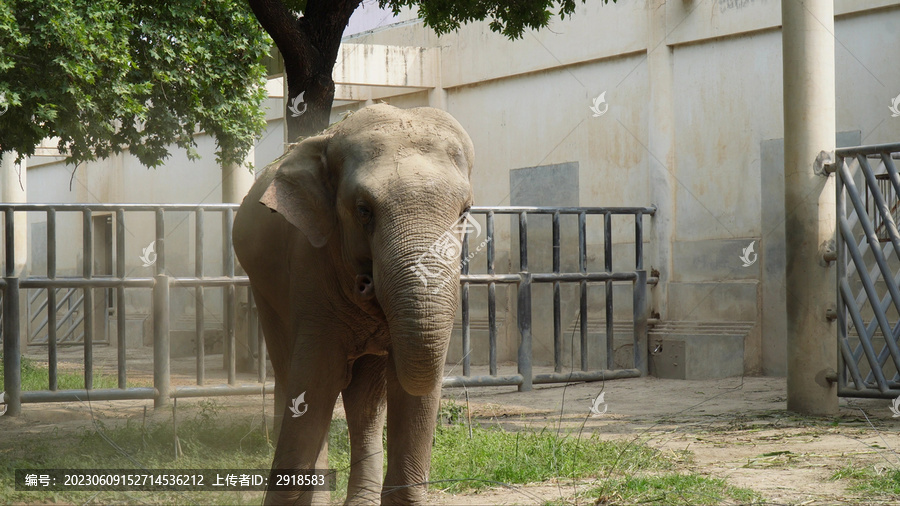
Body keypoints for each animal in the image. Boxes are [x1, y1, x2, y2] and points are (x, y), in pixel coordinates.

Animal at [234, 105, 478, 504]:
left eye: (465, 212)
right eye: (364, 210)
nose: (366, 284)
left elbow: (414, 389)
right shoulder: (310, 264)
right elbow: (316, 379)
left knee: (366, 400)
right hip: (263, 289)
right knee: (295, 374)